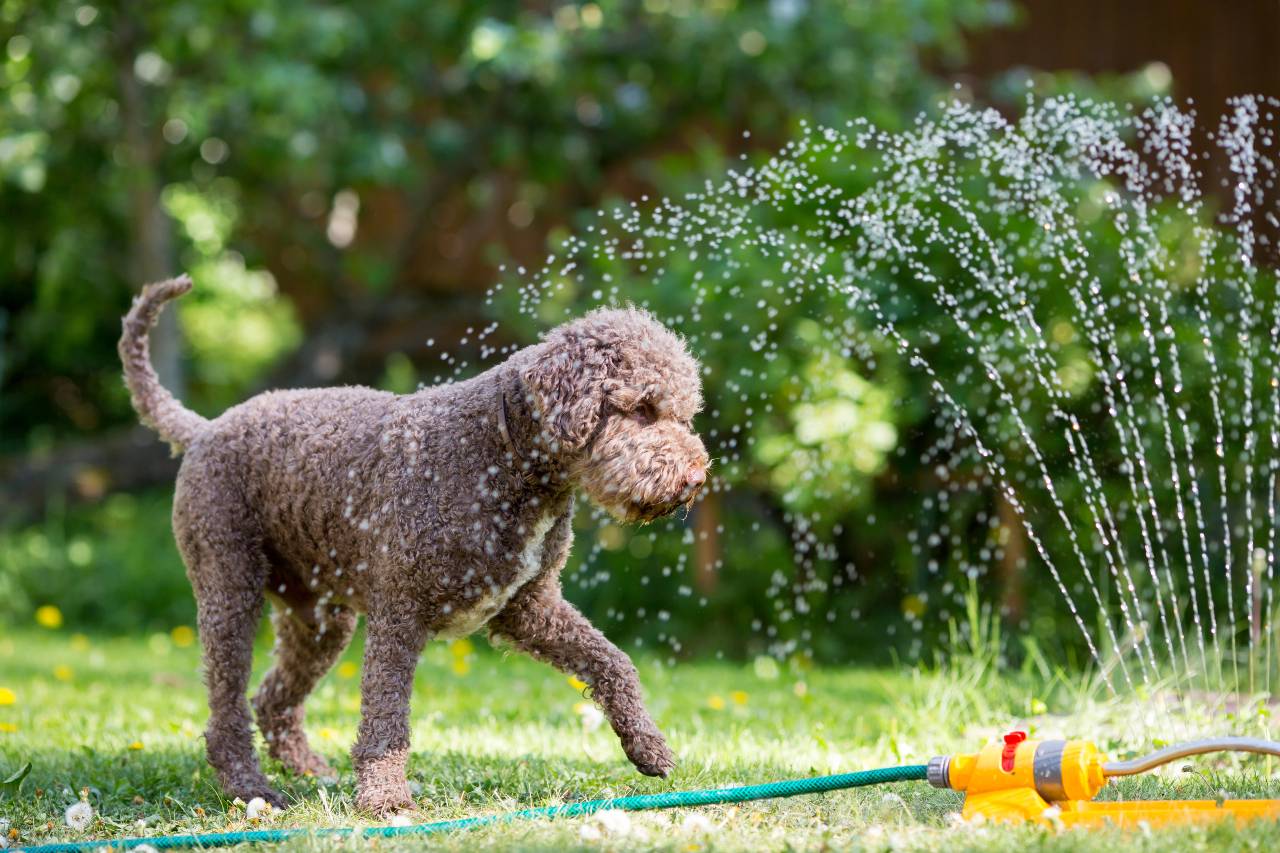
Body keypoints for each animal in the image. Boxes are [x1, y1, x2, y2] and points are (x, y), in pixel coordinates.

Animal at [120, 275, 711, 814]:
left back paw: (310, 770)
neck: (498, 457)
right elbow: (386, 719)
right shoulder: (399, 614)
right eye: (642, 408)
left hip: (320, 620)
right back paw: (250, 787)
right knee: (227, 711)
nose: (695, 478)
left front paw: (647, 745)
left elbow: (613, 662)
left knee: (273, 699)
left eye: (684, 413)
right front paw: (384, 797)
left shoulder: (528, 607)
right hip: (230, 592)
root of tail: (204, 429)